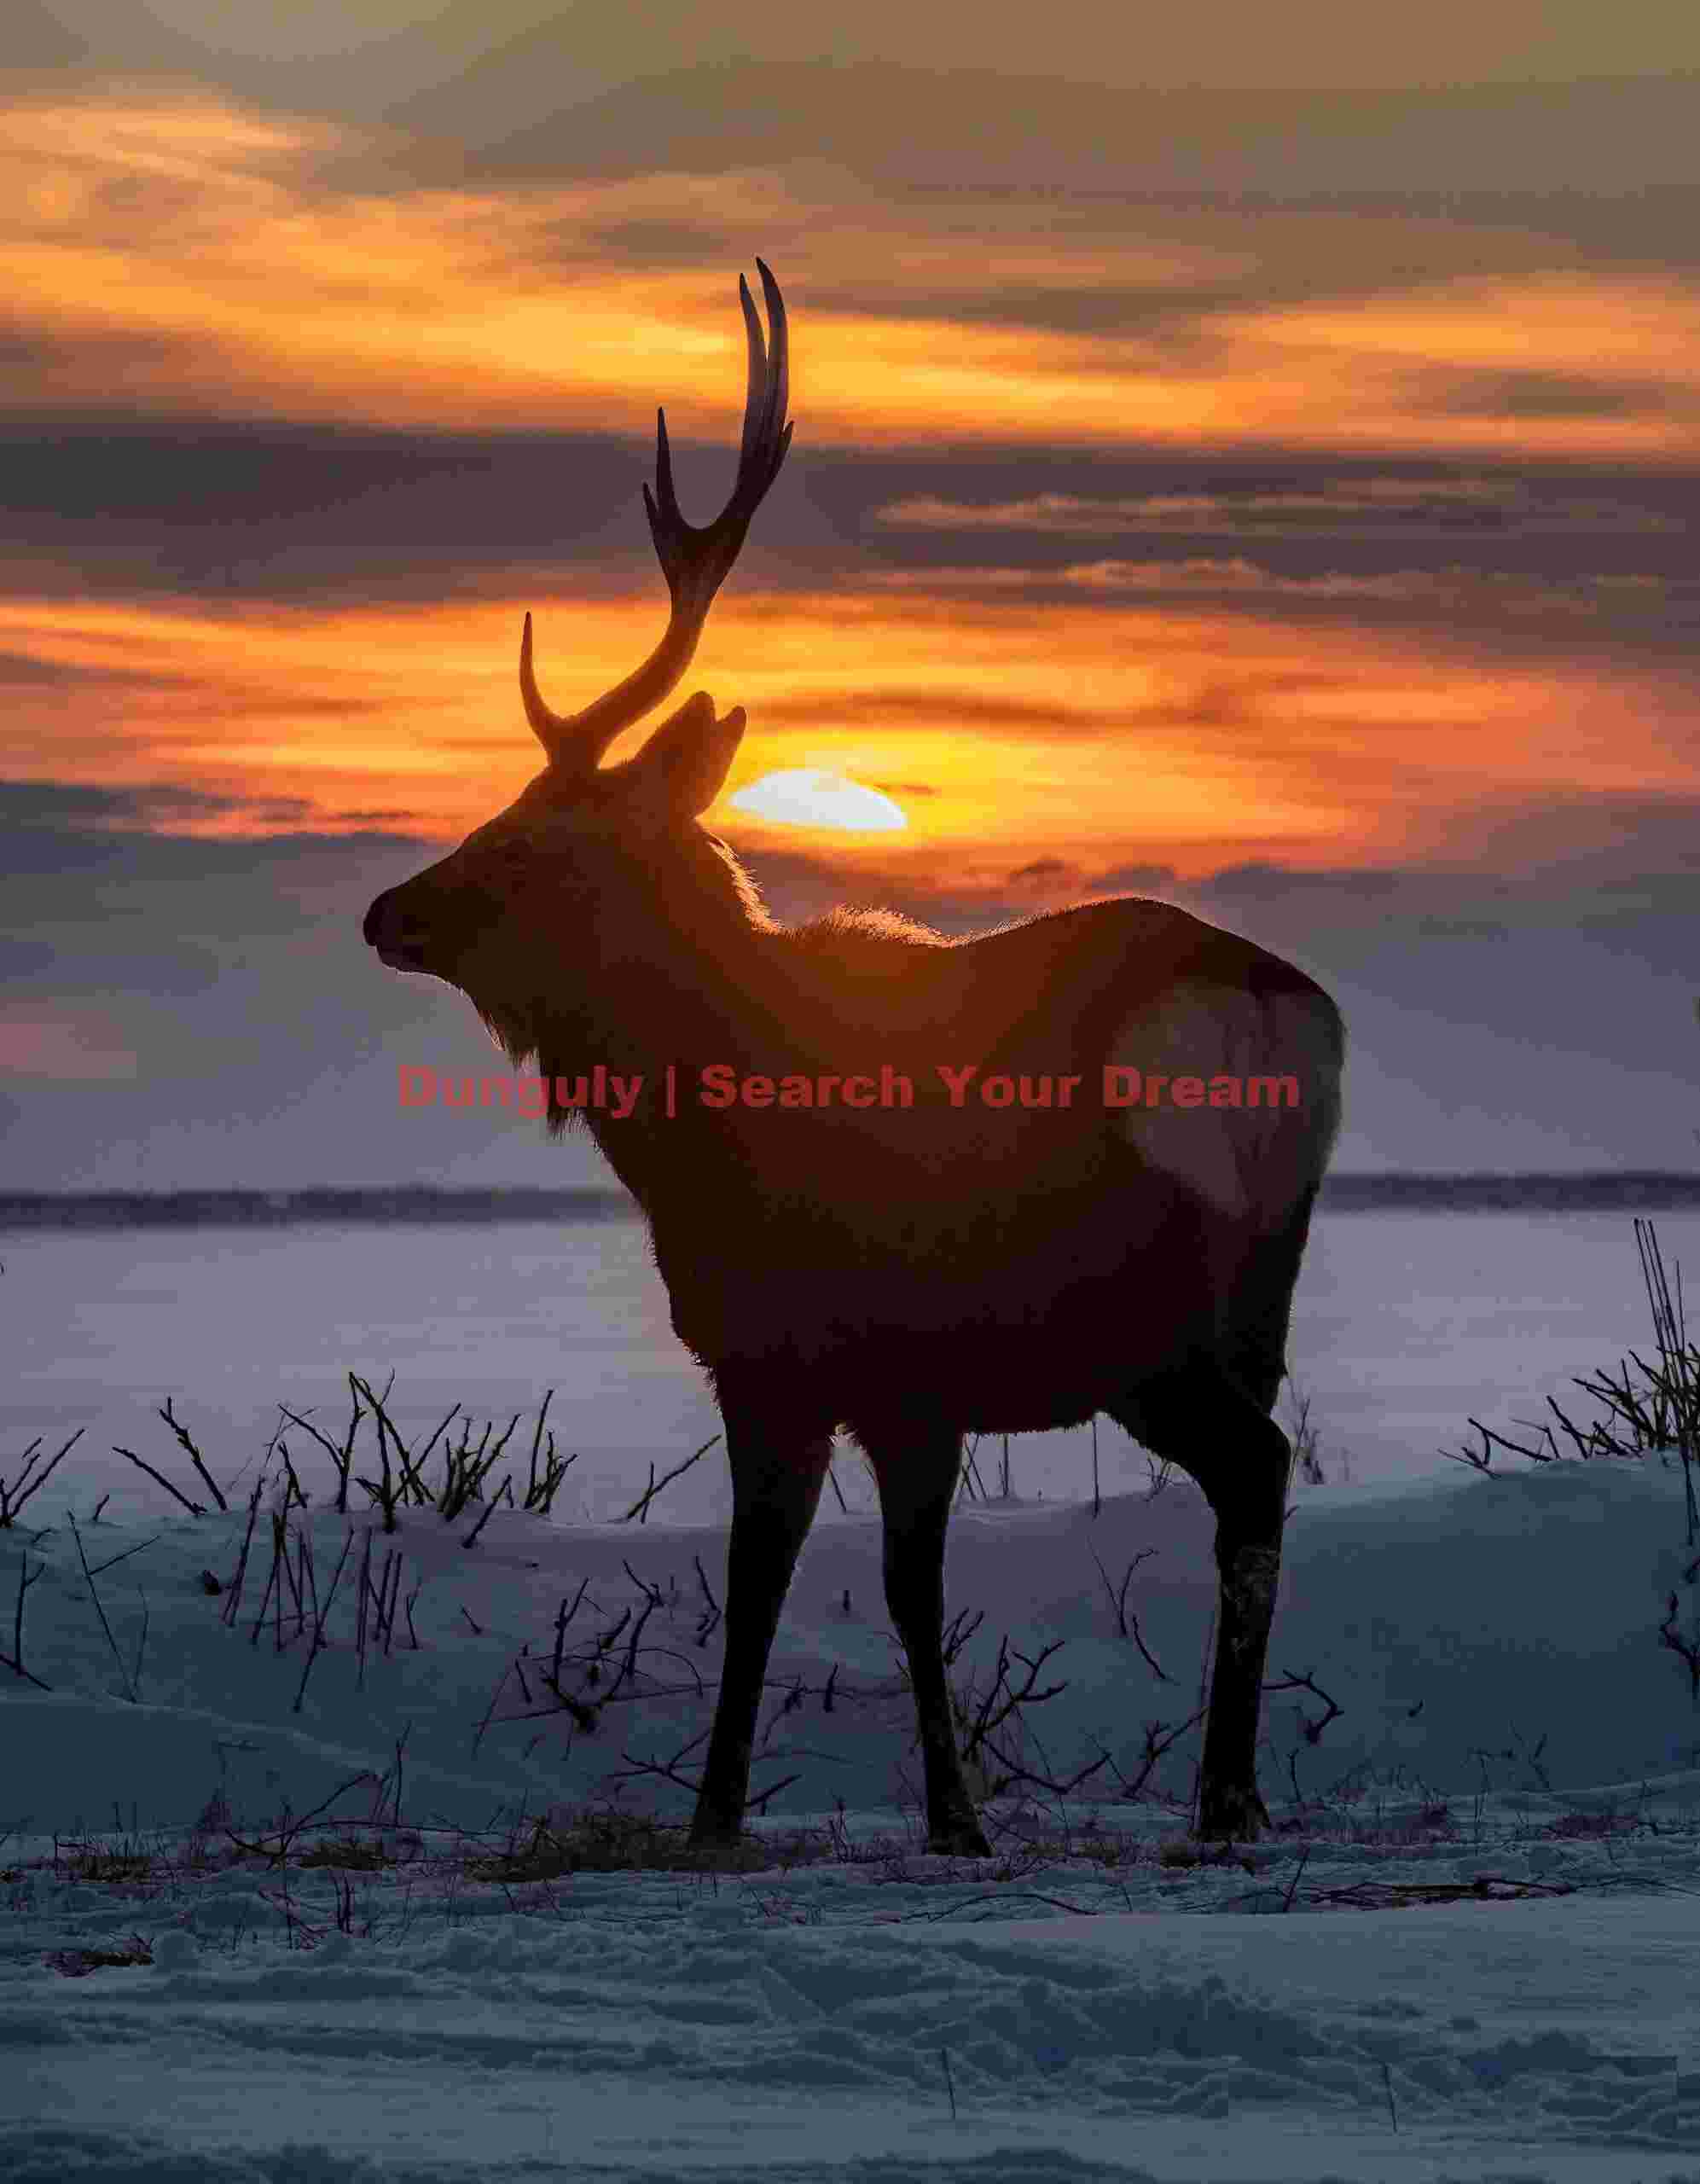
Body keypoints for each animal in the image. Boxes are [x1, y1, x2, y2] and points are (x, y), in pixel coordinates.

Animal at [364, 262, 1345, 1858]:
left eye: (534, 840)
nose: (389, 909)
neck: (696, 1144)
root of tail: (1275, 1013)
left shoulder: (852, 1360)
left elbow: (862, 1586)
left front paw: (929, 1817)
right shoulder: (814, 1369)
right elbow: (777, 1584)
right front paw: (740, 1817)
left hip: (1133, 1313)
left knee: (1254, 1470)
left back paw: (1223, 1792)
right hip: (1242, 1300)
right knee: (1255, 1476)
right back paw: (1229, 1788)